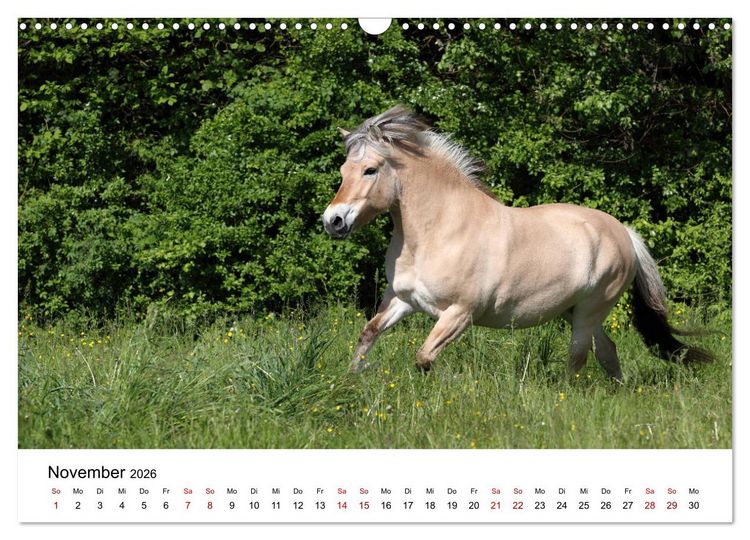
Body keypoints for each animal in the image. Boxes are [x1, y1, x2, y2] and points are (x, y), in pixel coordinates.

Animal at [322, 105, 712, 380]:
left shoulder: (459, 314)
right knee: (607, 352)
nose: (333, 221)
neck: (439, 232)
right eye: (343, 171)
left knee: (578, 358)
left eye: (370, 170)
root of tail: (624, 233)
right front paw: (348, 381)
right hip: (580, 310)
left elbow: (423, 359)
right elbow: (368, 334)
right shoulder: (404, 300)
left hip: (590, 310)